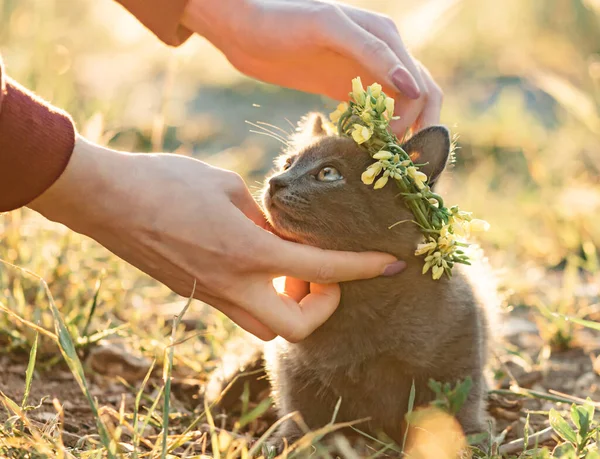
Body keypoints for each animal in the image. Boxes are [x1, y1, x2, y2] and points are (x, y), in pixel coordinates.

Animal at [258, 115, 492, 450]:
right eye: (288, 163)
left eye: (328, 173)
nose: (275, 181)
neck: (359, 302)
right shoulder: (291, 363)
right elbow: (299, 406)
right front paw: (291, 441)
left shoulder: (462, 341)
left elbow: (459, 402)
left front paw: (466, 440)